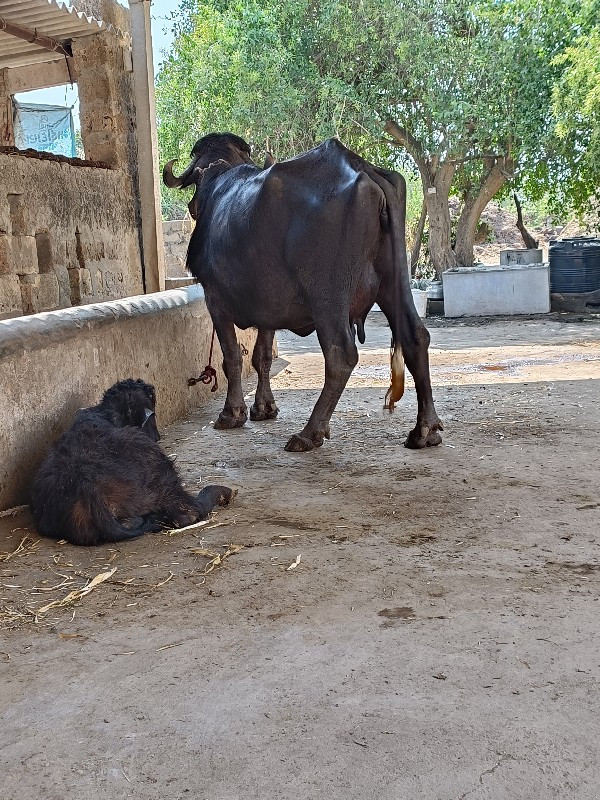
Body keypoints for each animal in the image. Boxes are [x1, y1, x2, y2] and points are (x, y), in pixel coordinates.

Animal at [162, 134, 442, 454]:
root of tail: (362, 168)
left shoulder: (215, 301)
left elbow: (232, 358)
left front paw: (231, 413)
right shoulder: (268, 308)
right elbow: (261, 356)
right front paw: (264, 408)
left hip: (328, 299)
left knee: (340, 355)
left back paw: (310, 432)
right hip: (393, 282)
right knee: (415, 337)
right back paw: (424, 430)